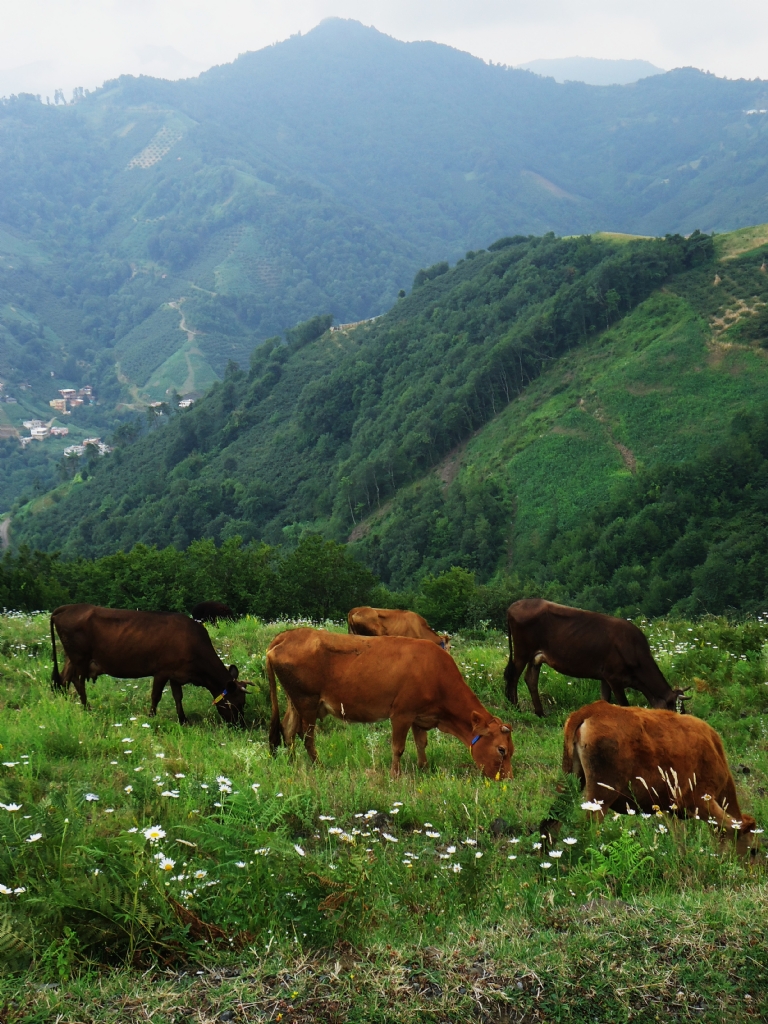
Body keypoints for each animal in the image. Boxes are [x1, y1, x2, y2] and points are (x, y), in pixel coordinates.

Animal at [50, 602, 249, 724]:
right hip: (80, 658)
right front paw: (152, 717)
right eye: (236, 704)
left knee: (64, 679)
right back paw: (87, 708)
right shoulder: (162, 671)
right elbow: (156, 696)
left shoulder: (177, 674)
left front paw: (183, 720)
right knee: (77, 681)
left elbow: (178, 697)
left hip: (71, 659)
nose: (240, 725)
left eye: (243, 703)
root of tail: (68, 608)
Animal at [268, 626, 514, 778]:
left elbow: (421, 743)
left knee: (288, 729)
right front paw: (395, 774)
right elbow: (398, 747)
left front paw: (424, 768)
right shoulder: (401, 714)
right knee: (306, 737)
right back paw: (319, 767)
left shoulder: (420, 716)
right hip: (306, 702)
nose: (507, 778)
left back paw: (292, 763)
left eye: (511, 749)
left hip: (294, 701)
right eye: (501, 749)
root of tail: (287, 635)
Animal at [501, 598, 688, 716]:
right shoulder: (614, 678)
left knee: (530, 679)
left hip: (536, 656)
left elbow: (605, 700)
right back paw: (516, 707)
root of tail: (513, 605)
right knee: (513, 676)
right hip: (522, 651)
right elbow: (623, 704)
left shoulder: (604, 677)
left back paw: (540, 713)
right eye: (678, 710)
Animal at [565, 704, 757, 839]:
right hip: (601, 797)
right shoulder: (699, 801)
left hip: (573, 779)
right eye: (753, 851)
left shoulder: (669, 808)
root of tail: (594, 709)